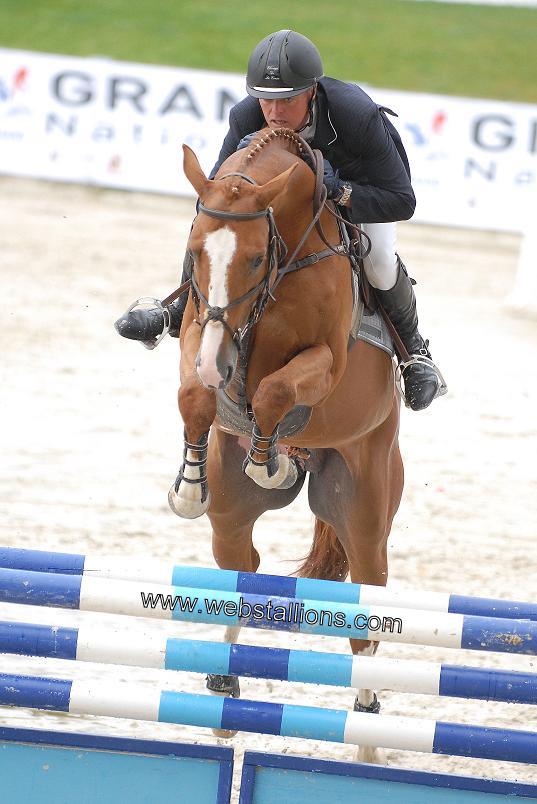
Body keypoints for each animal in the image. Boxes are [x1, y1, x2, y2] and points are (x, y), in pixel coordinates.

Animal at [169, 128, 404, 762]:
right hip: (232, 518)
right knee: (241, 570)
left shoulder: (326, 361)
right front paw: (189, 487)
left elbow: (275, 388)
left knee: (368, 610)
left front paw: (267, 461)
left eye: (254, 258)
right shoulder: (199, 328)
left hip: (366, 508)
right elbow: (195, 394)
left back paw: (368, 730)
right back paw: (224, 692)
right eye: (195, 252)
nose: (219, 366)